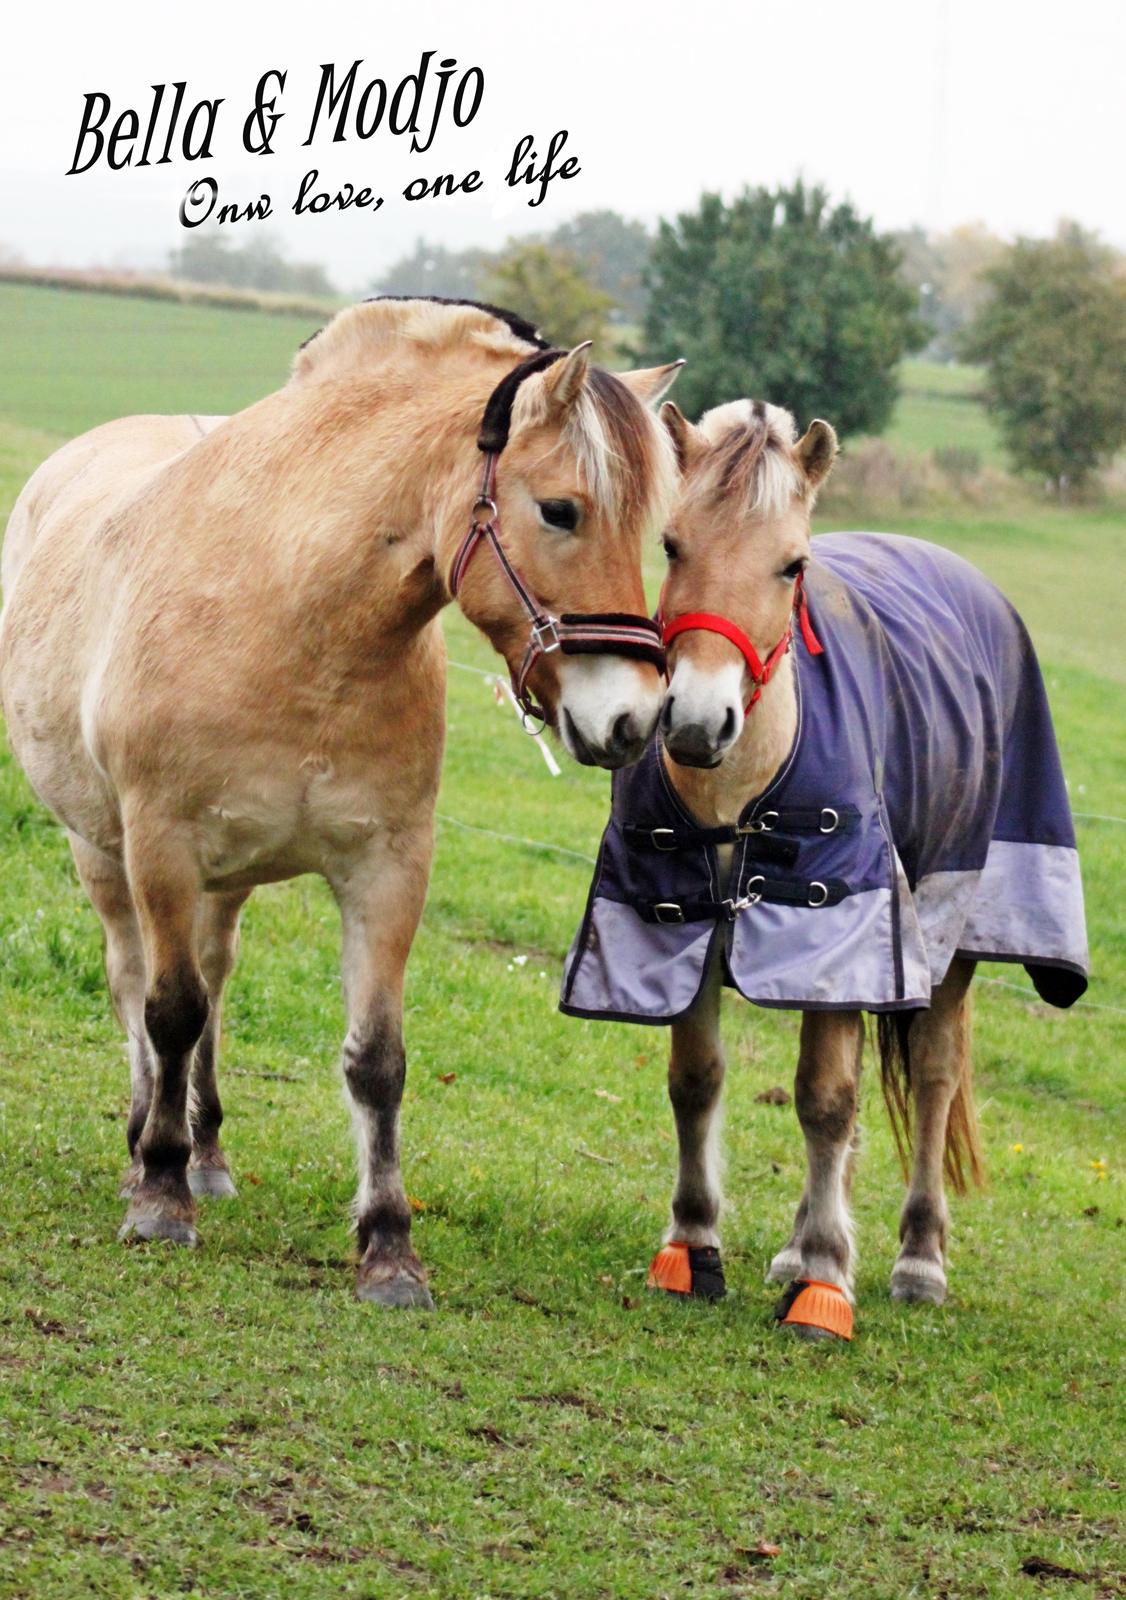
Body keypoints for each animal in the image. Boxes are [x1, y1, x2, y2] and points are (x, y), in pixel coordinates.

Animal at [2, 297, 678, 1299]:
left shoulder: (387, 866)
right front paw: (159, 1197)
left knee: (214, 980)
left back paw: (206, 1152)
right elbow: (167, 1011)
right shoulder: (160, 846)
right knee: (138, 985)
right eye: (561, 511)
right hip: (104, 853)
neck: (288, 607)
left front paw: (388, 1246)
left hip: (227, 881)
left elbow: (376, 1060)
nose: (633, 721)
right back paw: (147, 1145)